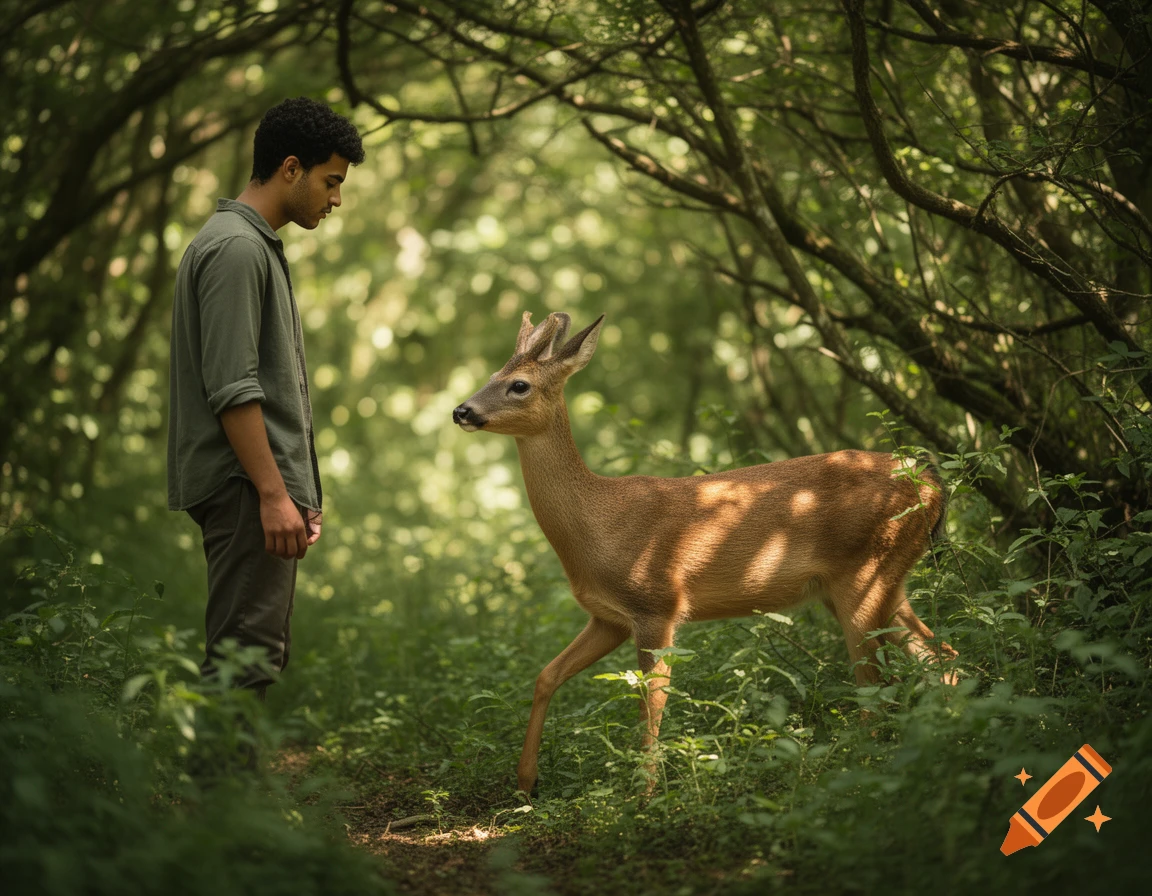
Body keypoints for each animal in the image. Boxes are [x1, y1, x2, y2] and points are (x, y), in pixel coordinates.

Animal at [452, 311, 958, 794]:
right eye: (493, 373)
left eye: (519, 384)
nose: (461, 410)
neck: (596, 525)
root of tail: (931, 483)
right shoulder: (609, 617)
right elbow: (546, 675)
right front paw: (525, 783)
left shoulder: (658, 603)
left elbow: (651, 702)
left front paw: (644, 796)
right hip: (878, 582)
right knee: (940, 655)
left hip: (864, 573)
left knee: (877, 685)